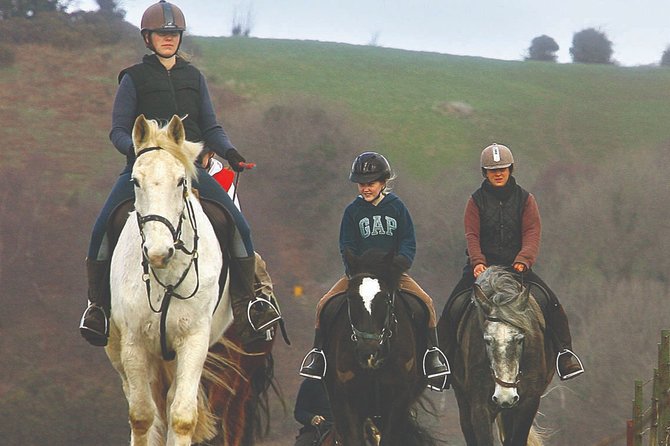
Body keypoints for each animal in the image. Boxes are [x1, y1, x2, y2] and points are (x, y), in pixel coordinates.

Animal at [103, 114, 232, 446]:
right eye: (136, 181)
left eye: (180, 181)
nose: (159, 252)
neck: (167, 277)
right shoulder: (134, 342)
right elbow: (142, 416)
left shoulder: (194, 340)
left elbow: (182, 416)